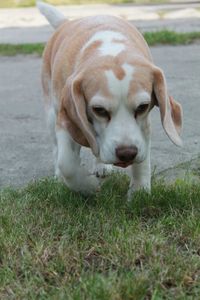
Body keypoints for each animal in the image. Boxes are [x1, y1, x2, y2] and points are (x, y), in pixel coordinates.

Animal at [37, 1, 183, 197]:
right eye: (99, 110)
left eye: (142, 107)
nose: (127, 153)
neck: (111, 50)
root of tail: (66, 23)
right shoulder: (64, 119)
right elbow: (66, 164)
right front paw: (87, 186)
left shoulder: (144, 124)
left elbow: (142, 160)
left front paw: (139, 192)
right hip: (51, 114)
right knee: (57, 149)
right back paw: (59, 177)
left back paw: (101, 166)